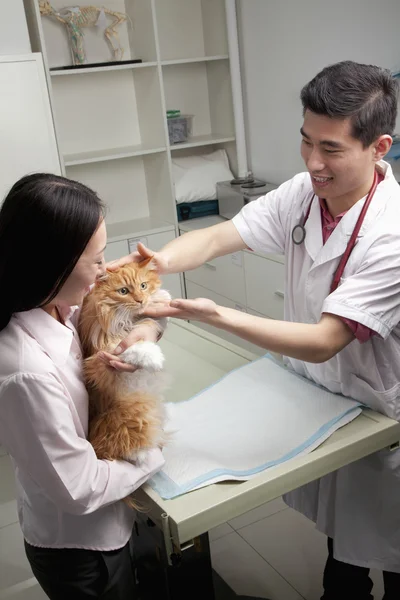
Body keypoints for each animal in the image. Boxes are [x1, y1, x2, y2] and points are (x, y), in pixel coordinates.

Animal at [78, 260, 170, 466]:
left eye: (143, 286)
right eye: (123, 291)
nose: (140, 300)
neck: (125, 319)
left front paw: (161, 296)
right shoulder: (100, 358)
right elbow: (128, 347)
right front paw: (154, 357)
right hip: (131, 414)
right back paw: (141, 454)